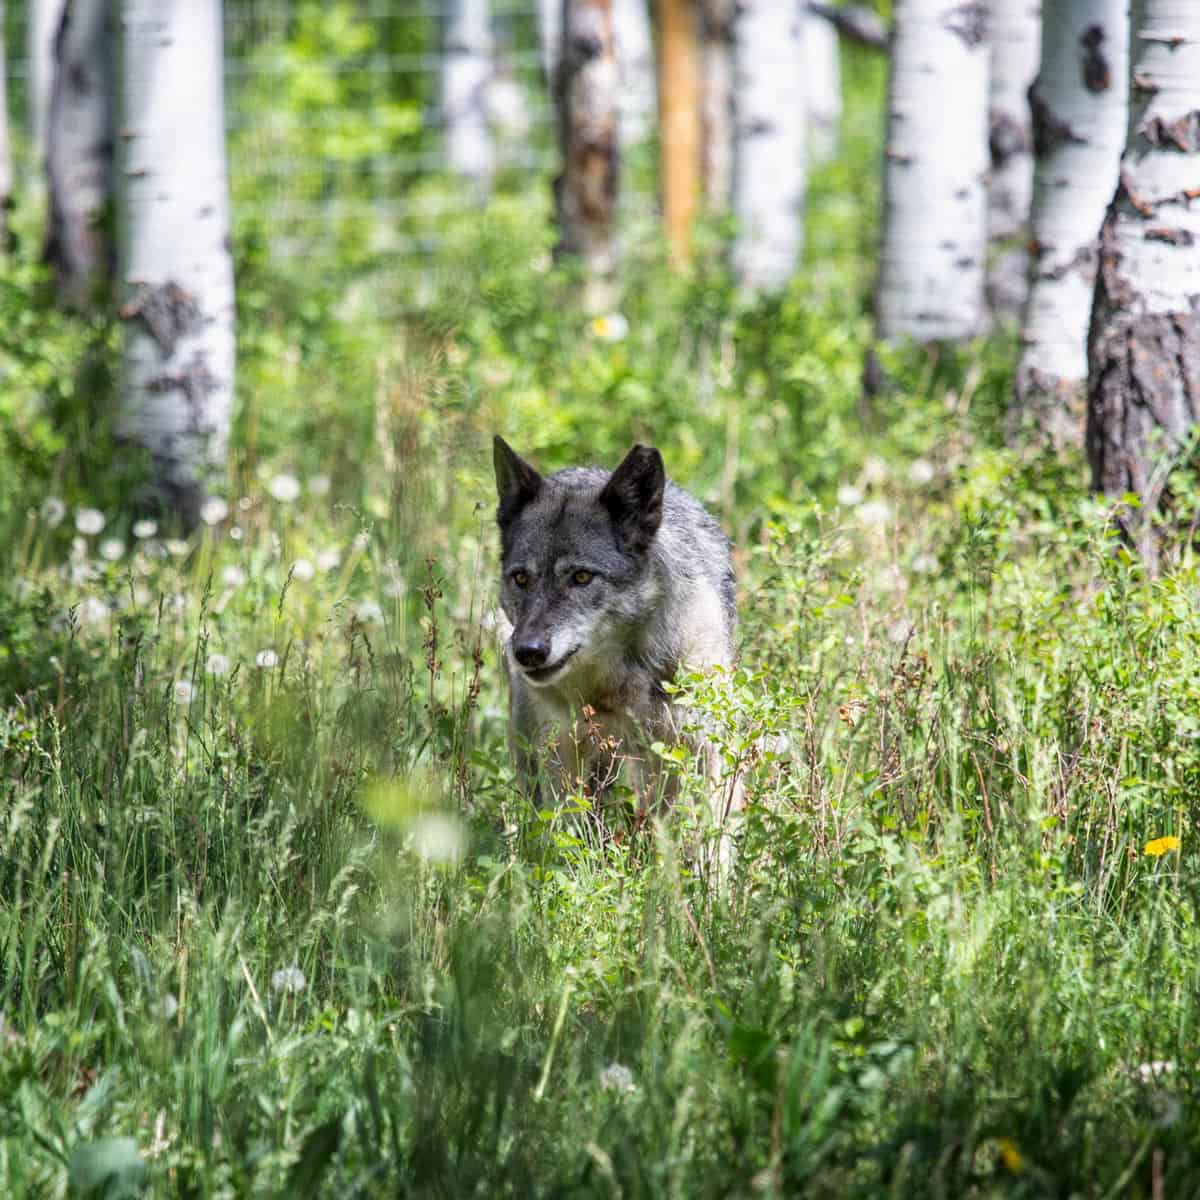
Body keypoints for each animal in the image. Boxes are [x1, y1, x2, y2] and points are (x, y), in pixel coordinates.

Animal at [489, 436, 739, 859]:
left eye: (581, 577)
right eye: (521, 578)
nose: (529, 651)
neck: (616, 685)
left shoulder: (694, 751)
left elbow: (703, 843)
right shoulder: (562, 753)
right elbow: (566, 838)